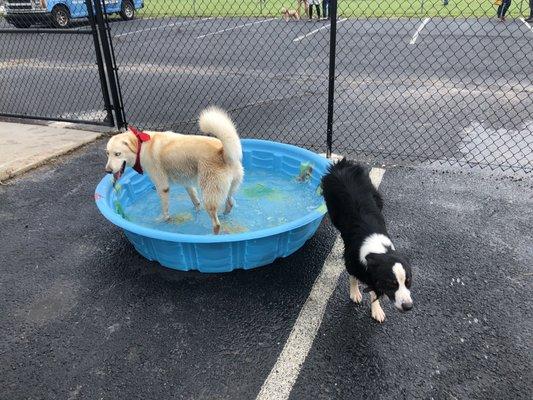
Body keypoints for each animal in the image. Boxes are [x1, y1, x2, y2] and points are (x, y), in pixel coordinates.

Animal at [320, 159, 412, 322]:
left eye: (408, 282)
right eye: (392, 284)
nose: (408, 307)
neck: (380, 250)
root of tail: (342, 164)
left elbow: (374, 291)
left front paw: (377, 309)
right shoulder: (351, 260)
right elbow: (353, 277)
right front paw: (355, 293)